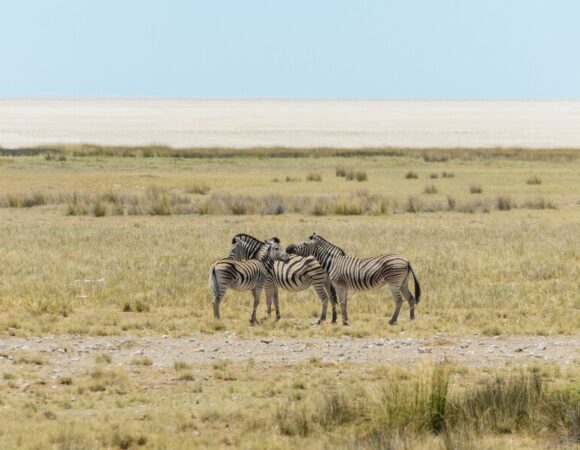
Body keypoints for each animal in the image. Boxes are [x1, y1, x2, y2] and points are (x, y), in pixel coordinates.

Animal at [286, 234, 420, 326]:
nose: (288, 248)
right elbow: (344, 303)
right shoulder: (343, 286)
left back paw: (392, 320)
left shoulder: (339, 284)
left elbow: (341, 302)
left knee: (399, 300)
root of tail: (406, 260)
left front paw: (344, 322)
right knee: (410, 298)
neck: (333, 262)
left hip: (394, 282)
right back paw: (411, 319)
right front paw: (345, 320)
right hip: (402, 282)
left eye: (304, 244)